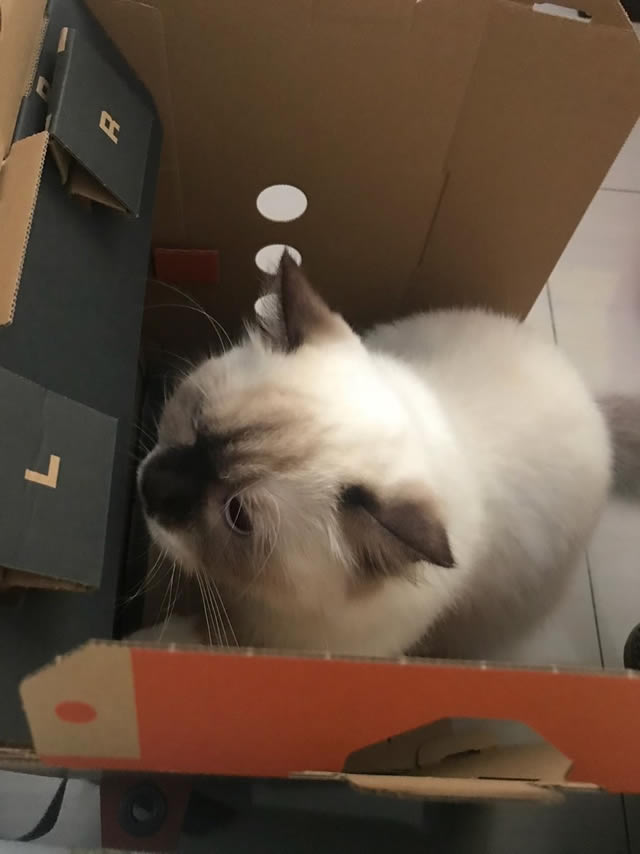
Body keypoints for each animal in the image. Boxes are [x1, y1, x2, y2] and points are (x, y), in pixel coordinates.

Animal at [135, 252, 639, 659]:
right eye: (197, 421)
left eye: (237, 515)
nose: (149, 489)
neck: (245, 595)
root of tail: (591, 401)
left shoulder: (269, 642)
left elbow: (182, 637)